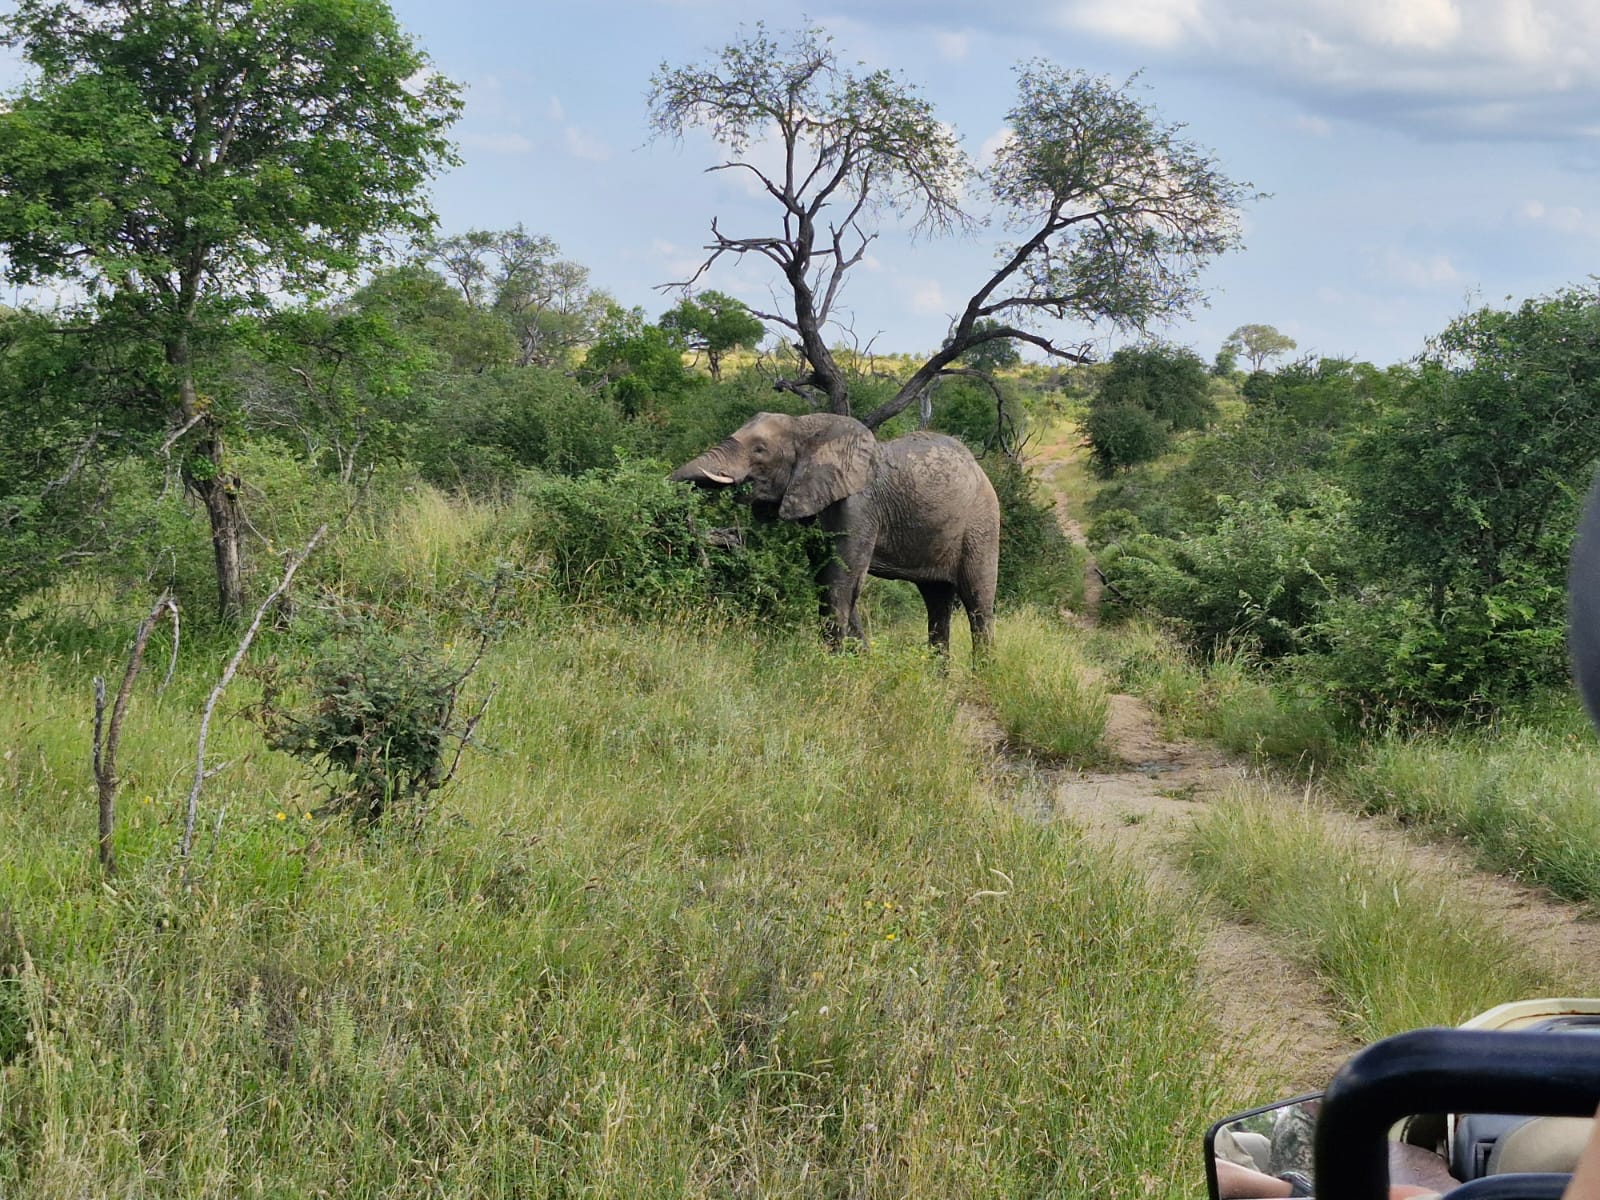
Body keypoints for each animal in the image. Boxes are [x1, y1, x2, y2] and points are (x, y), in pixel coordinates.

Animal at [670, 411, 999, 654]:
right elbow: (826, 578)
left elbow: (841, 580)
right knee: (937, 601)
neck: (806, 427)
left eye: (759, 450)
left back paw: (981, 675)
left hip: (982, 525)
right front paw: (859, 659)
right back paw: (937, 680)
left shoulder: (859, 507)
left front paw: (832, 664)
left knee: (977, 603)